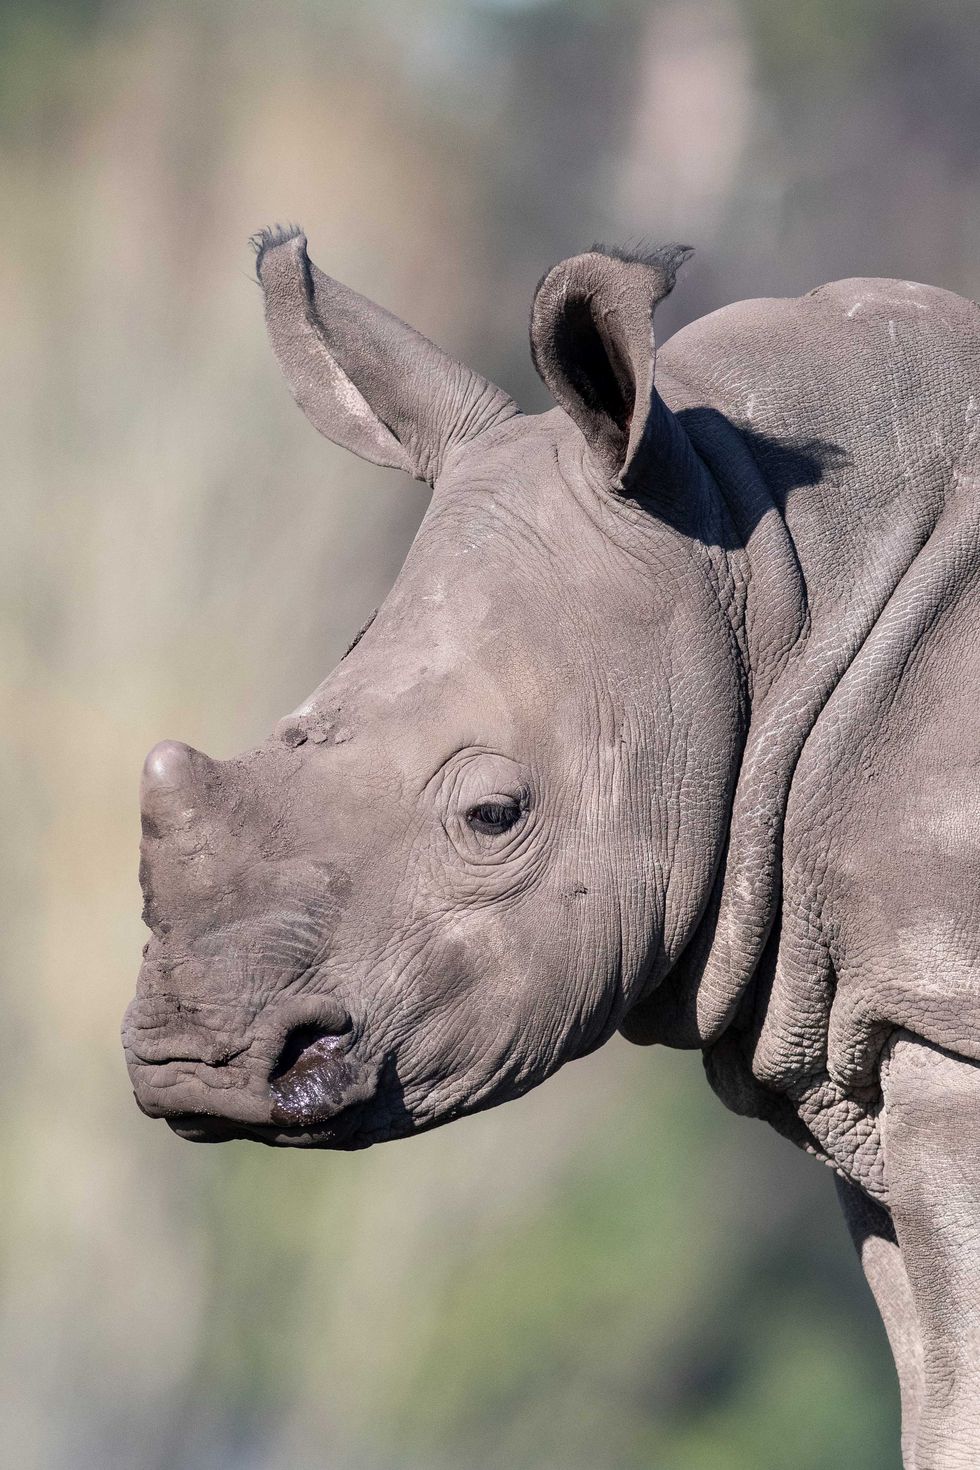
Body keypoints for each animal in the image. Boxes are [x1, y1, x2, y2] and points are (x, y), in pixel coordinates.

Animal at [124, 224, 980, 1468]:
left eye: (493, 816)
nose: (189, 1057)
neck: (768, 574)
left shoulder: (944, 1021)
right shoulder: (876, 1029)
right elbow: (934, 1390)